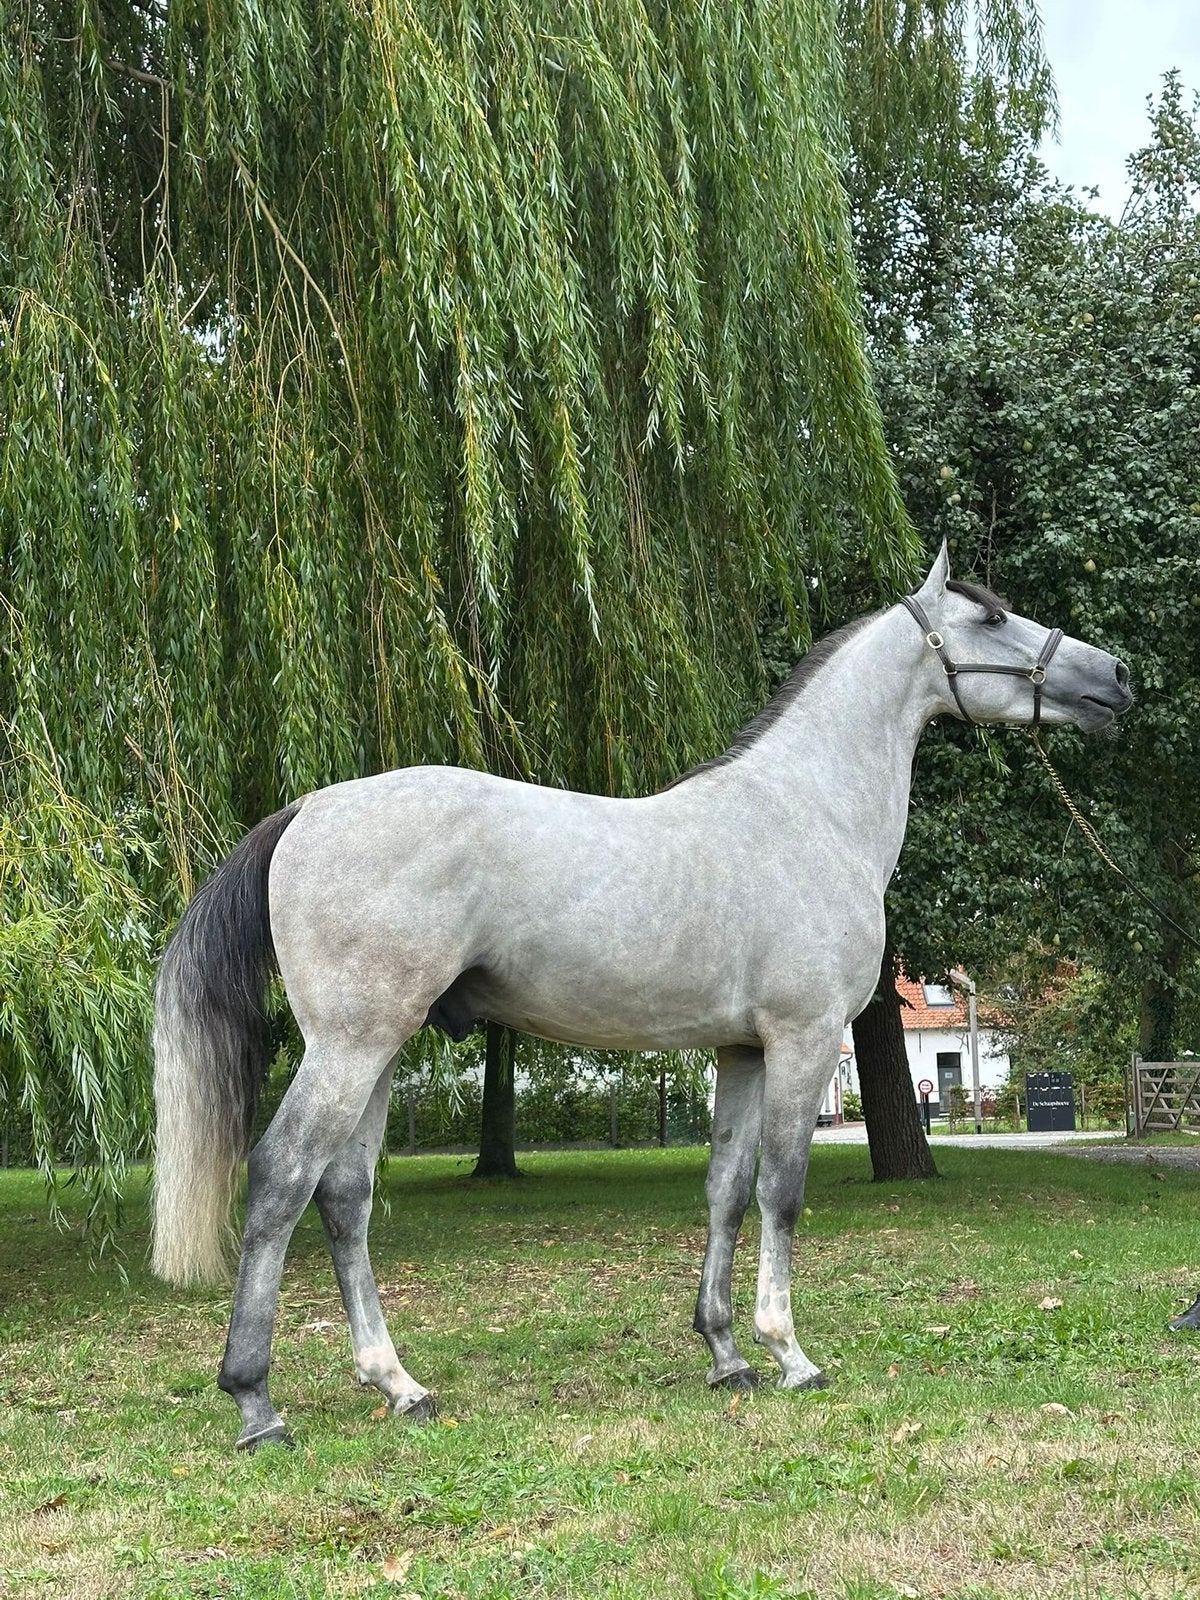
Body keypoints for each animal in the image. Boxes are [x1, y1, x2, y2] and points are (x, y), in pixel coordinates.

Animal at [151, 545, 1132, 1449]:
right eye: (990, 619)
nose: (1115, 678)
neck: (805, 812)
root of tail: (309, 810)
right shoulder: (806, 1041)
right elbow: (782, 1189)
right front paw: (790, 1354)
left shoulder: (741, 1051)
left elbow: (726, 1189)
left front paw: (727, 1354)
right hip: (351, 1045)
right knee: (282, 1177)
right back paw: (256, 1402)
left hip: (379, 1049)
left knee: (345, 1197)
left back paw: (398, 1383)